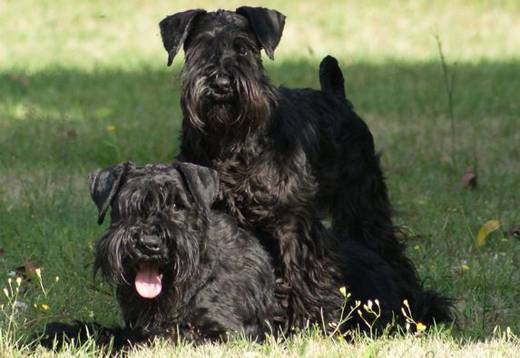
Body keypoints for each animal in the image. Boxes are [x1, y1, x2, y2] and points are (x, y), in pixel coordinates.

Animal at [160, 6, 424, 328]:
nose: (221, 84)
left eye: (244, 49)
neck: (232, 141)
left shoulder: (291, 220)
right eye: (199, 48)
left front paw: (310, 320)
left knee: (388, 249)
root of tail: (336, 97)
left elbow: (303, 268)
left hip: (365, 201)